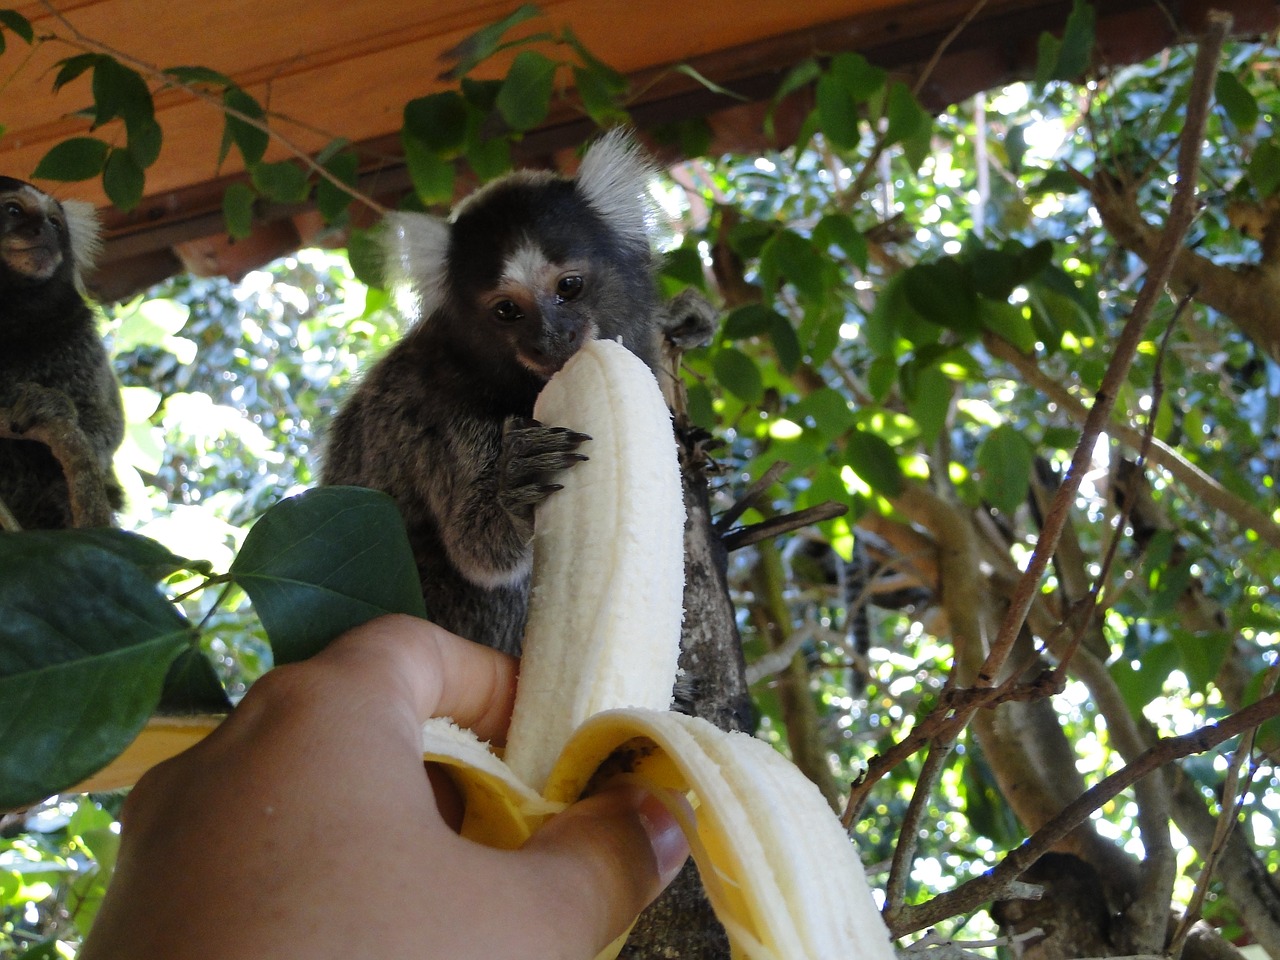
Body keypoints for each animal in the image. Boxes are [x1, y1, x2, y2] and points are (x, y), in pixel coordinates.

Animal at [0, 176, 124, 529]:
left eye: (55, 224)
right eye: (13, 211)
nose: (43, 232)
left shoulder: (77, 332)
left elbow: (105, 424)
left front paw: (51, 405)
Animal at [325, 131, 716, 660]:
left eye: (569, 286)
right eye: (507, 310)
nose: (550, 340)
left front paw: (683, 321)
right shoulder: (444, 419)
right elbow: (479, 549)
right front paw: (516, 481)